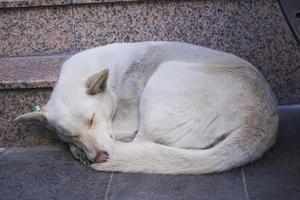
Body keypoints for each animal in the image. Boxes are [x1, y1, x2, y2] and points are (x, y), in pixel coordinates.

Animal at [14, 41, 278, 174]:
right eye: (72, 133)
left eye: (92, 119)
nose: (99, 156)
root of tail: (261, 121)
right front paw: (77, 148)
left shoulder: (123, 120)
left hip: (162, 80)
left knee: (139, 142)